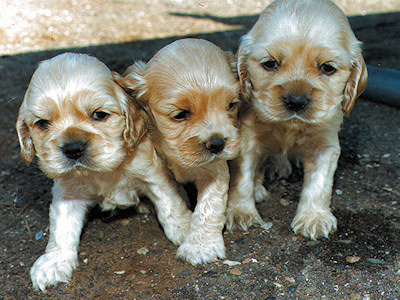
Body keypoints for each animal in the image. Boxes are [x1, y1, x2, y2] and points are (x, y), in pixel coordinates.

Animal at [18, 52, 193, 290]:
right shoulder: (68, 191)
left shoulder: (152, 172)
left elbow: (170, 202)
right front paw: (54, 262)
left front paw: (185, 228)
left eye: (99, 115)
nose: (73, 149)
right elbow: (62, 226)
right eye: (42, 123)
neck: (103, 171)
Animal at [115, 38, 241, 264]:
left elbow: (209, 206)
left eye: (231, 105)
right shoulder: (153, 164)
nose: (217, 144)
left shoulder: (214, 169)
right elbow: (170, 195)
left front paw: (201, 246)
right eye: (180, 114)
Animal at [227, 0, 368, 240]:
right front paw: (239, 212)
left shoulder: (325, 145)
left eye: (327, 68)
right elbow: (242, 177)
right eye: (270, 64)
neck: (289, 127)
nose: (296, 101)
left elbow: (319, 184)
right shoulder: (247, 139)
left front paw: (314, 218)